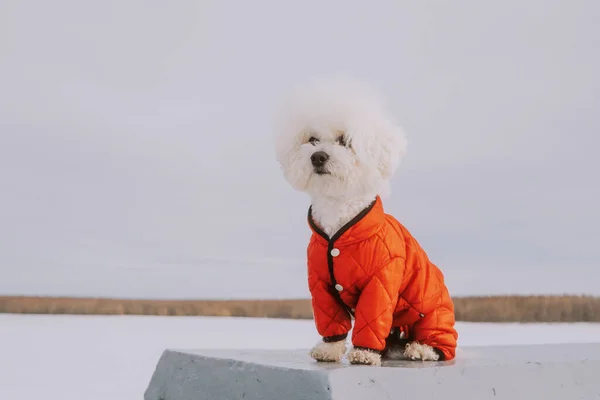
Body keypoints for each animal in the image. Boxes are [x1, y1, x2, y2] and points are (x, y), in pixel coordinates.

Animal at [274, 75, 460, 366]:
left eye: (344, 140)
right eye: (312, 139)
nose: (318, 156)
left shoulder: (381, 281)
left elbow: (371, 317)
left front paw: (364, 352)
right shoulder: (321, 285)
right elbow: (331, 321)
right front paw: (329, 349)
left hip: (431, 312)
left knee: (440, 342)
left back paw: (422, 349)